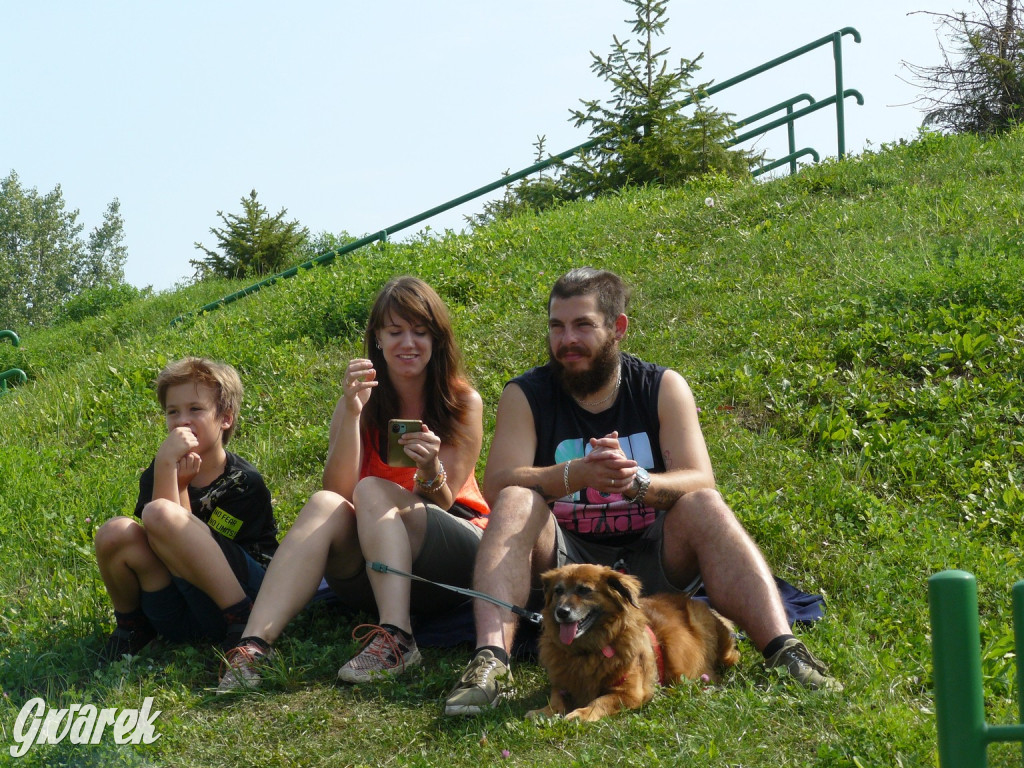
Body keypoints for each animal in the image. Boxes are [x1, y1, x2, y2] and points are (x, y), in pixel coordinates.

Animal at [528, 565, 737, 720]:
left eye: (584, 590)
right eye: (558, 591)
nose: (561, 612)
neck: (588, 651)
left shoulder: (630, 692)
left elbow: (600, 701)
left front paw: (582, 714)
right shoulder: (562, 684)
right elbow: (556, 699)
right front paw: (544, 712)